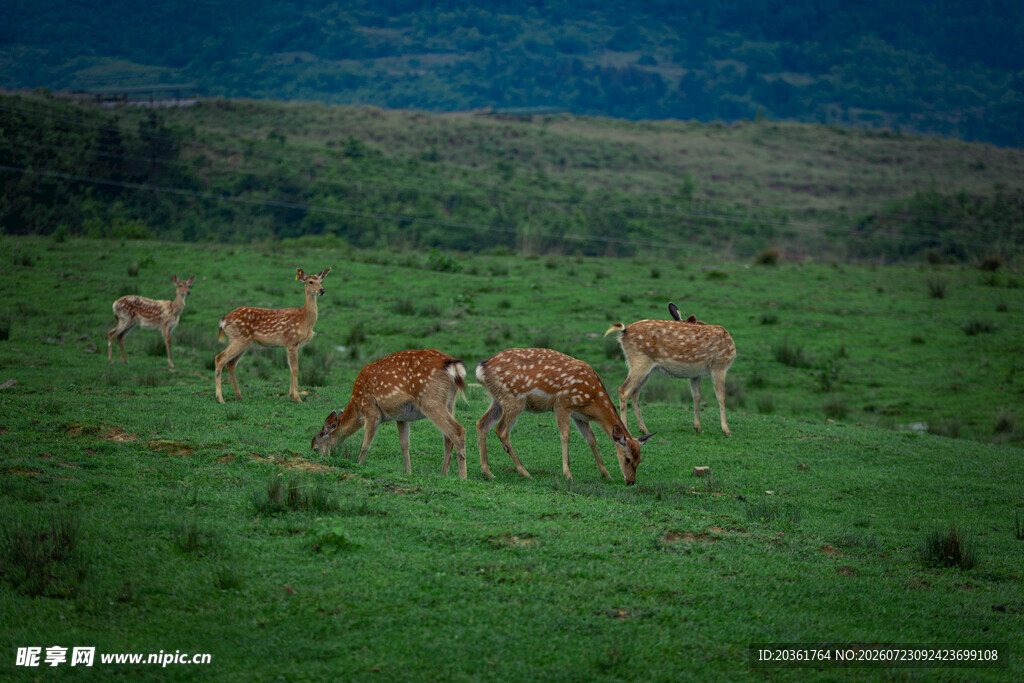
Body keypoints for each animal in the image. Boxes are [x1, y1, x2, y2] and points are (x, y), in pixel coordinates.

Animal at [214, 267, 330, 404]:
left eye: (321, 281)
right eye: (310, 281)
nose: (322, 290)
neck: (304, 319)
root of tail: (223, 321)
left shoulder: (296, 345)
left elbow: (291, 368)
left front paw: (292, 396)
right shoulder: (291, 341)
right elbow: (295, 369)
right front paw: (298, 398)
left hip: (245, 342)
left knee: (231, 364)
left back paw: (239, 395)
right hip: (239, 338)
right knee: (219, 358)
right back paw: (220, 398)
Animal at [310, 349, 469, 478]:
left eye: (315, 448)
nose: (321, 459)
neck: (357, 405)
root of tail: (452, 365)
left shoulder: (371, 412)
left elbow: (365, 445)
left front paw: (358, 465)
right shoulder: (401, 416)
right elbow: (404, 444)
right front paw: (408, 472)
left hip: (430, 399)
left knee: (458, 431)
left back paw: (462, 477)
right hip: (450, 403)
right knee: (448, 437)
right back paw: (443, 474)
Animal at [475, 348, 653, 485]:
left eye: (640, 459)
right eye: (628, 459)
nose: (631, 481)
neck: (592, 400)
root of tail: (481, 369)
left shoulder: (580, 416)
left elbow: (591, 439)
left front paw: (606, 474)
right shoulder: (562, 405)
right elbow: (565, 435)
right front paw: (568, 474)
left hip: (498, 400)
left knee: (482, 423)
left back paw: (487, 472)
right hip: (514, 398)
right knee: (501, 430)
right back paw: (524, 472)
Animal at [605, 302, 736, 437]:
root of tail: (623, 330)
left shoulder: (695, 374)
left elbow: (696, 396)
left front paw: (698, 427)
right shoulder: (720, 365)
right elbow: (721, 396)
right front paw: (726, 430)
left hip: (646, 367)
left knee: (635, 392)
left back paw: (644, 429)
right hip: (639, 360)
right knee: (624, 390)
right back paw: (626, 429)